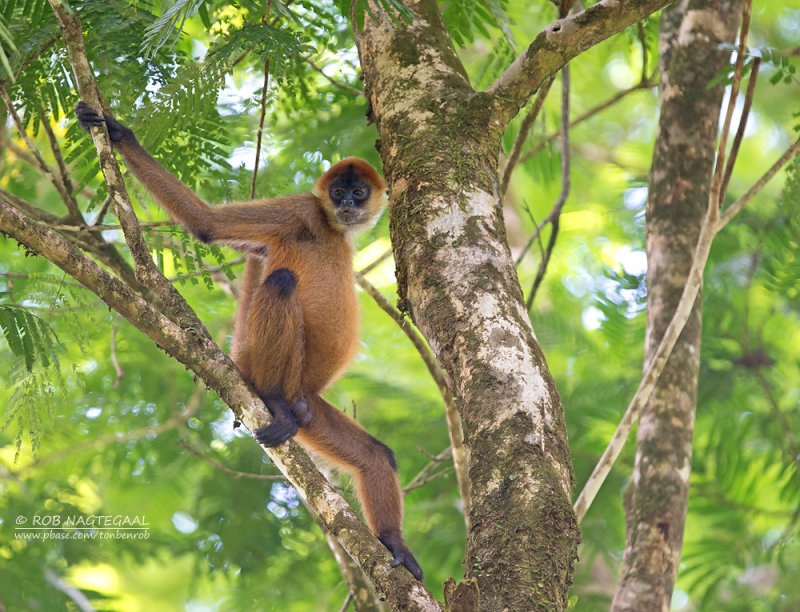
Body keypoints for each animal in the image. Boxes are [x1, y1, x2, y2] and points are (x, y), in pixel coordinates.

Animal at [76, 101, 424, 584]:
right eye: (338, 193)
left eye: (358, 193)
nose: (348, 206)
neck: (330, 229)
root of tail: (301, 394)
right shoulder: (301, 210)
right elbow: (208, 226)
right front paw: (119, 134)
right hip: (271, 366)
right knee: (280, 281)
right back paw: (273, 399)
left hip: (313, 409)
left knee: (377, 456)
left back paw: (392, 542)